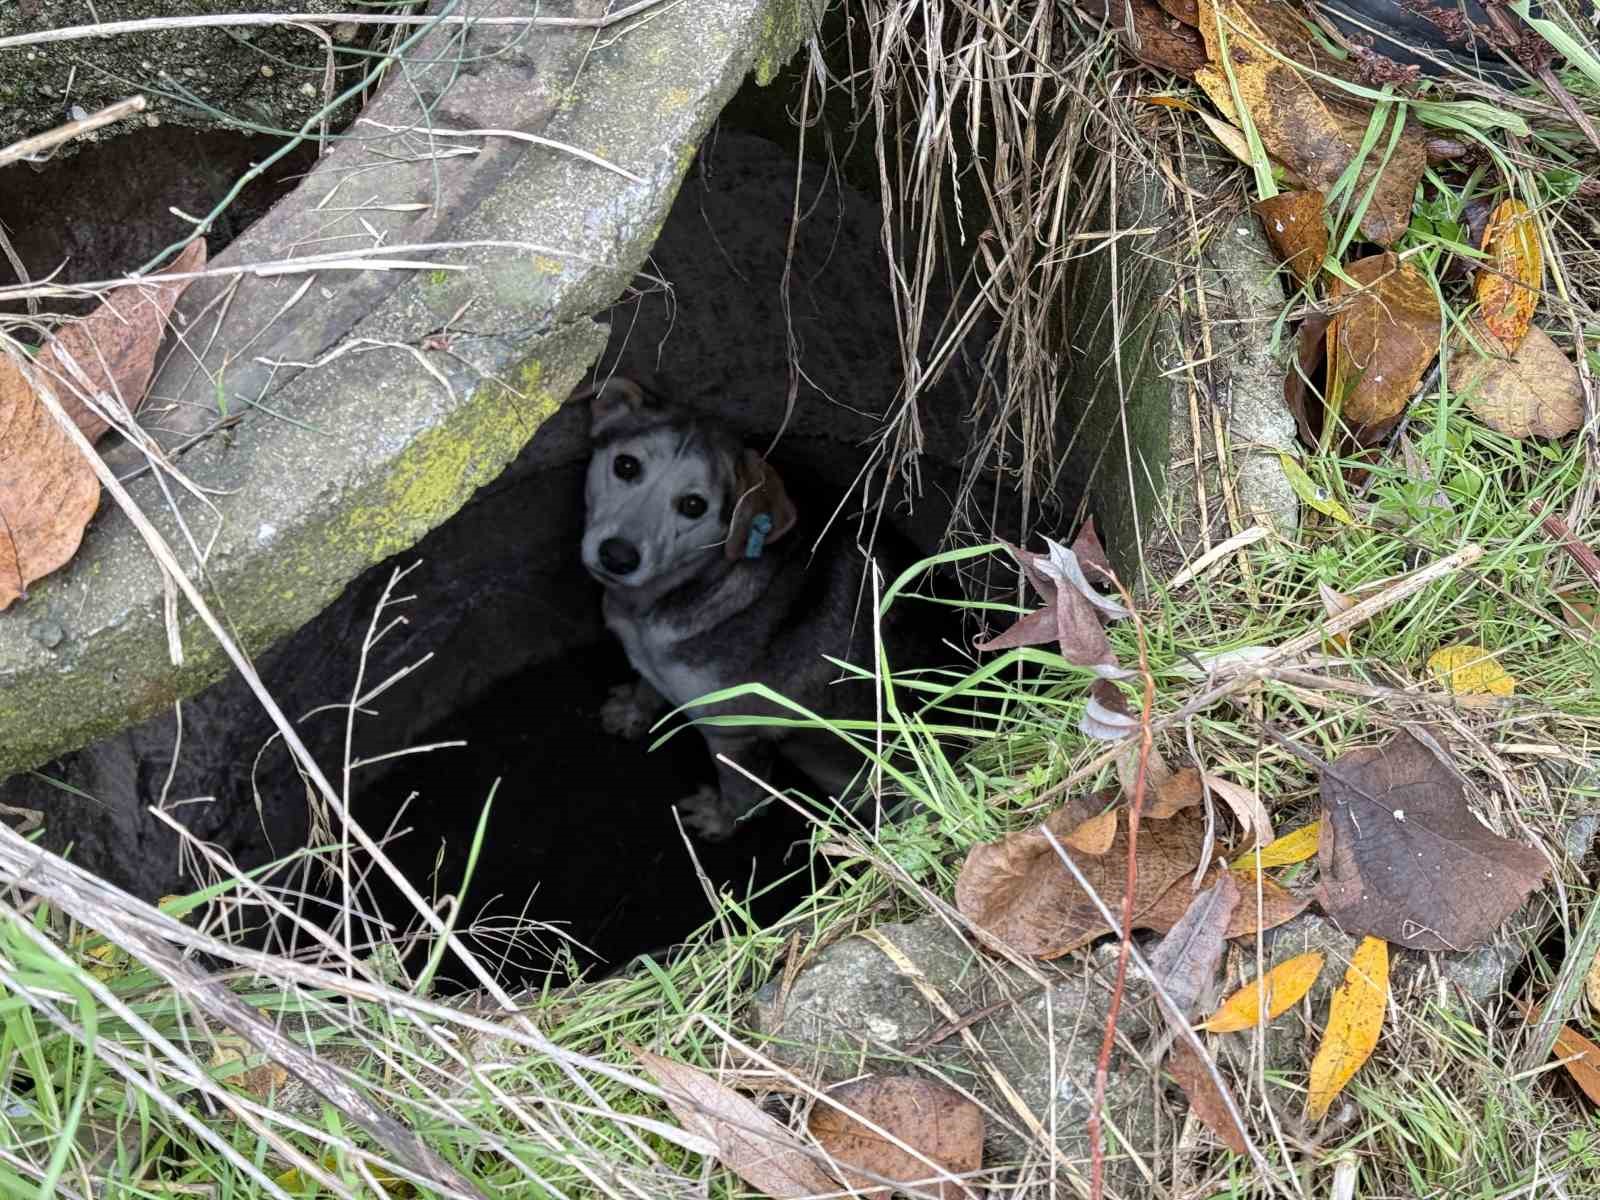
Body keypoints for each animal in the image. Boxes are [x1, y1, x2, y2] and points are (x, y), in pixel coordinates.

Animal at [582, 380, 921, 838]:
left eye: (693, 506)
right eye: (626, 466)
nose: (618, 556)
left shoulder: (734, 733)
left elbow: (743, 793)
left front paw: (721, 821)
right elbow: (648, 683)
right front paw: (634, 710)